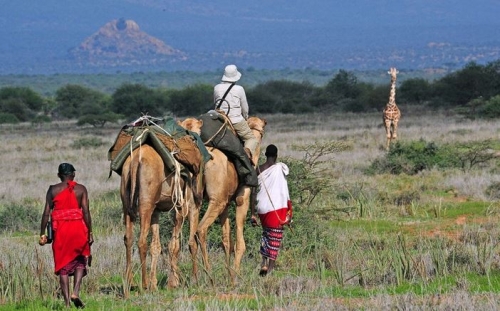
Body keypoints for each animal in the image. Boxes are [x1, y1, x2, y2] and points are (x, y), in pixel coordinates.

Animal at [121, 144, 199, 298]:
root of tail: (135, 161)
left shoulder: (157, 210)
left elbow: (156, 246)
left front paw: (155, 285)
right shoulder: (186, 205)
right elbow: (184, 244)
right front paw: (183, 282)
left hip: (127, 202)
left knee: (128, 238)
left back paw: (128, 286)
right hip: (146, 203)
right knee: (141, 241)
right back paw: (144, 285)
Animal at [179, 116, 266, 284]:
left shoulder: (225, 205)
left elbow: (227, 241)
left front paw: (229, 274)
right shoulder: (241, 199)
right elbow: (239, 244)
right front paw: (235, 278)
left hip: (194, 202)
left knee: (192, 239)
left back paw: (195, 279)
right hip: (215, 202)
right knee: (201, 230)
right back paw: (209, 276)